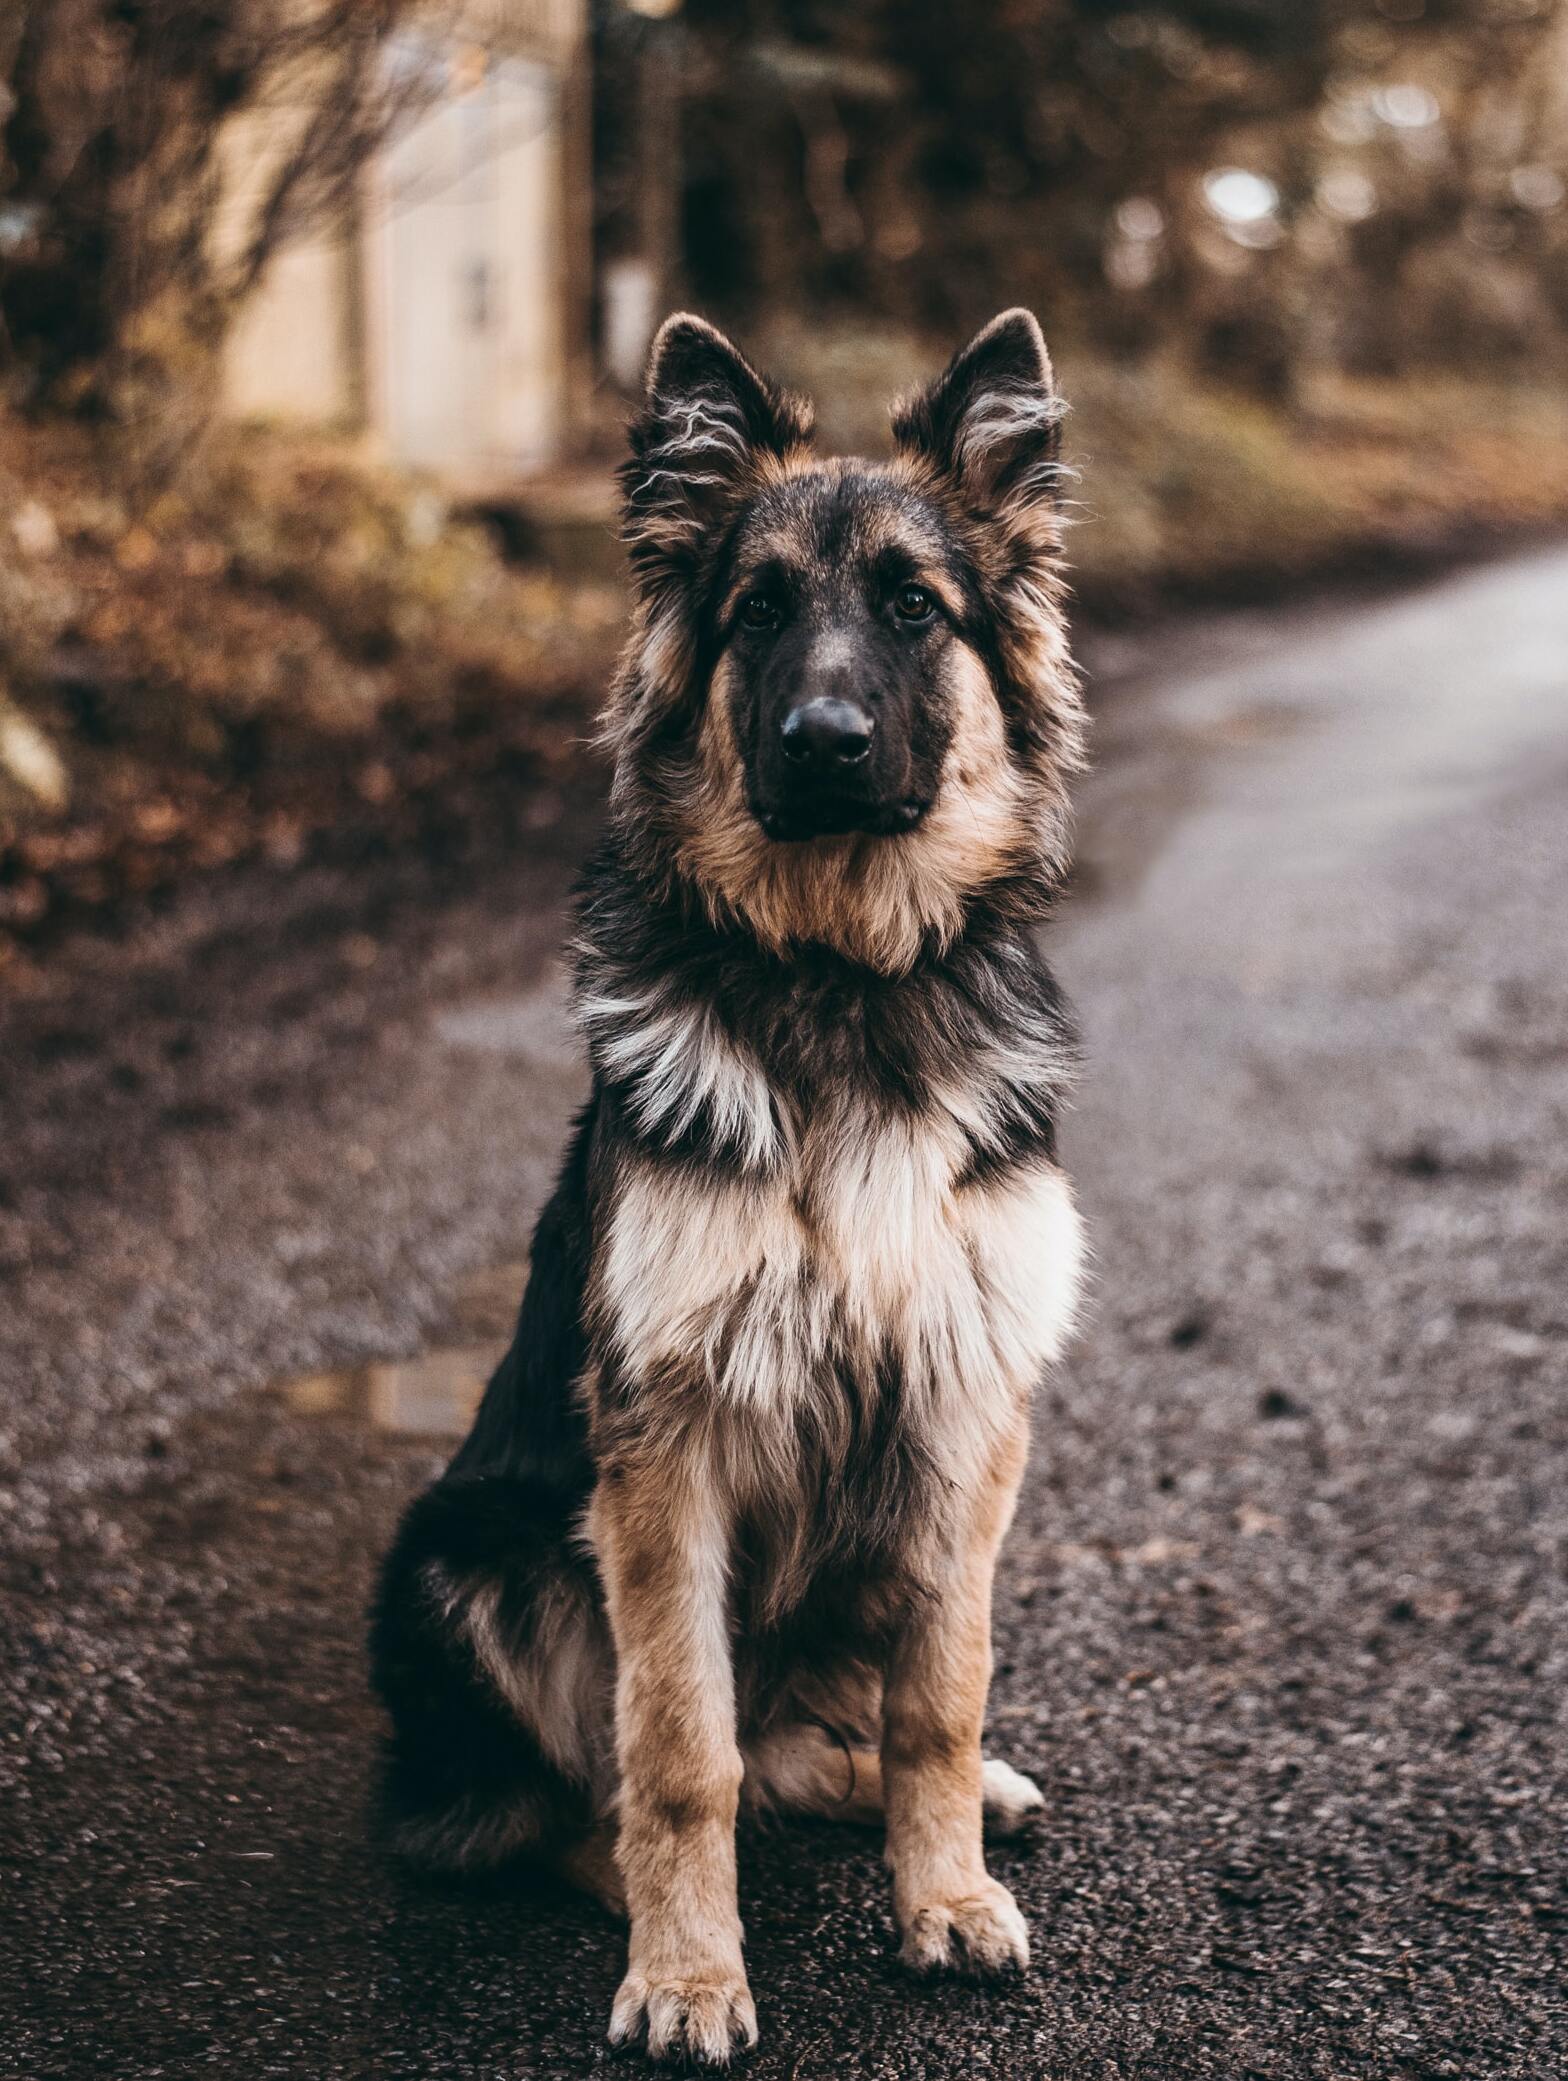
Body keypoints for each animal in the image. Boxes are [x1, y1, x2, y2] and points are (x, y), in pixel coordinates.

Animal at [370, 307, 1091, 2064]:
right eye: (758, 611)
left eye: (914, 606)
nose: (822, 743)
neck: (838, 976)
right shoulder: (665, 1449)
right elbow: (677, 1748)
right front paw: (691, 1970)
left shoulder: (964, 1410)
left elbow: (941, 1693)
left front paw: (943, 1891)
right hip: (464, 1559)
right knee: (572, 1796)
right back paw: (622, 1881)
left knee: (821, 1741)